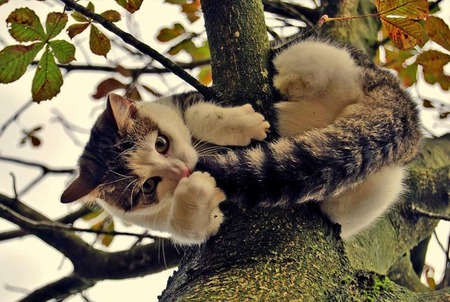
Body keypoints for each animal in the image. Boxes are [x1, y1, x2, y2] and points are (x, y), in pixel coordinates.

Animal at [59, 39, 422, 244]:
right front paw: (195, 195)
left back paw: (283, 85)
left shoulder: (192, 97)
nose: (182, 169)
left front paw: (245, 123)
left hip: (325, 57)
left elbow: (196, 114)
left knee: (316, 68)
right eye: (148, 187)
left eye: (161, 143)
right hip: (372, 188)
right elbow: (188, 229)